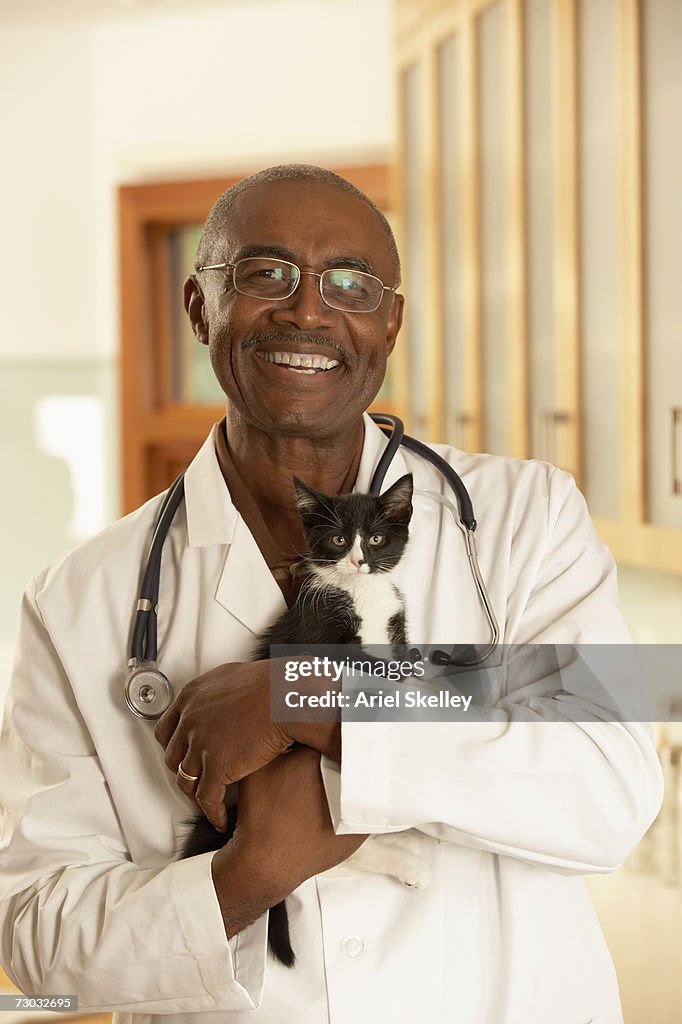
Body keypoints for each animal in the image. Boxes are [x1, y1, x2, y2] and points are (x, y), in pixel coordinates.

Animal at [179, 471, 413, 966]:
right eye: (339, 539)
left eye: (376, 538)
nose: (359, 561)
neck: (360, 594)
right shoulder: (317, 633)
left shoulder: (396, 628)